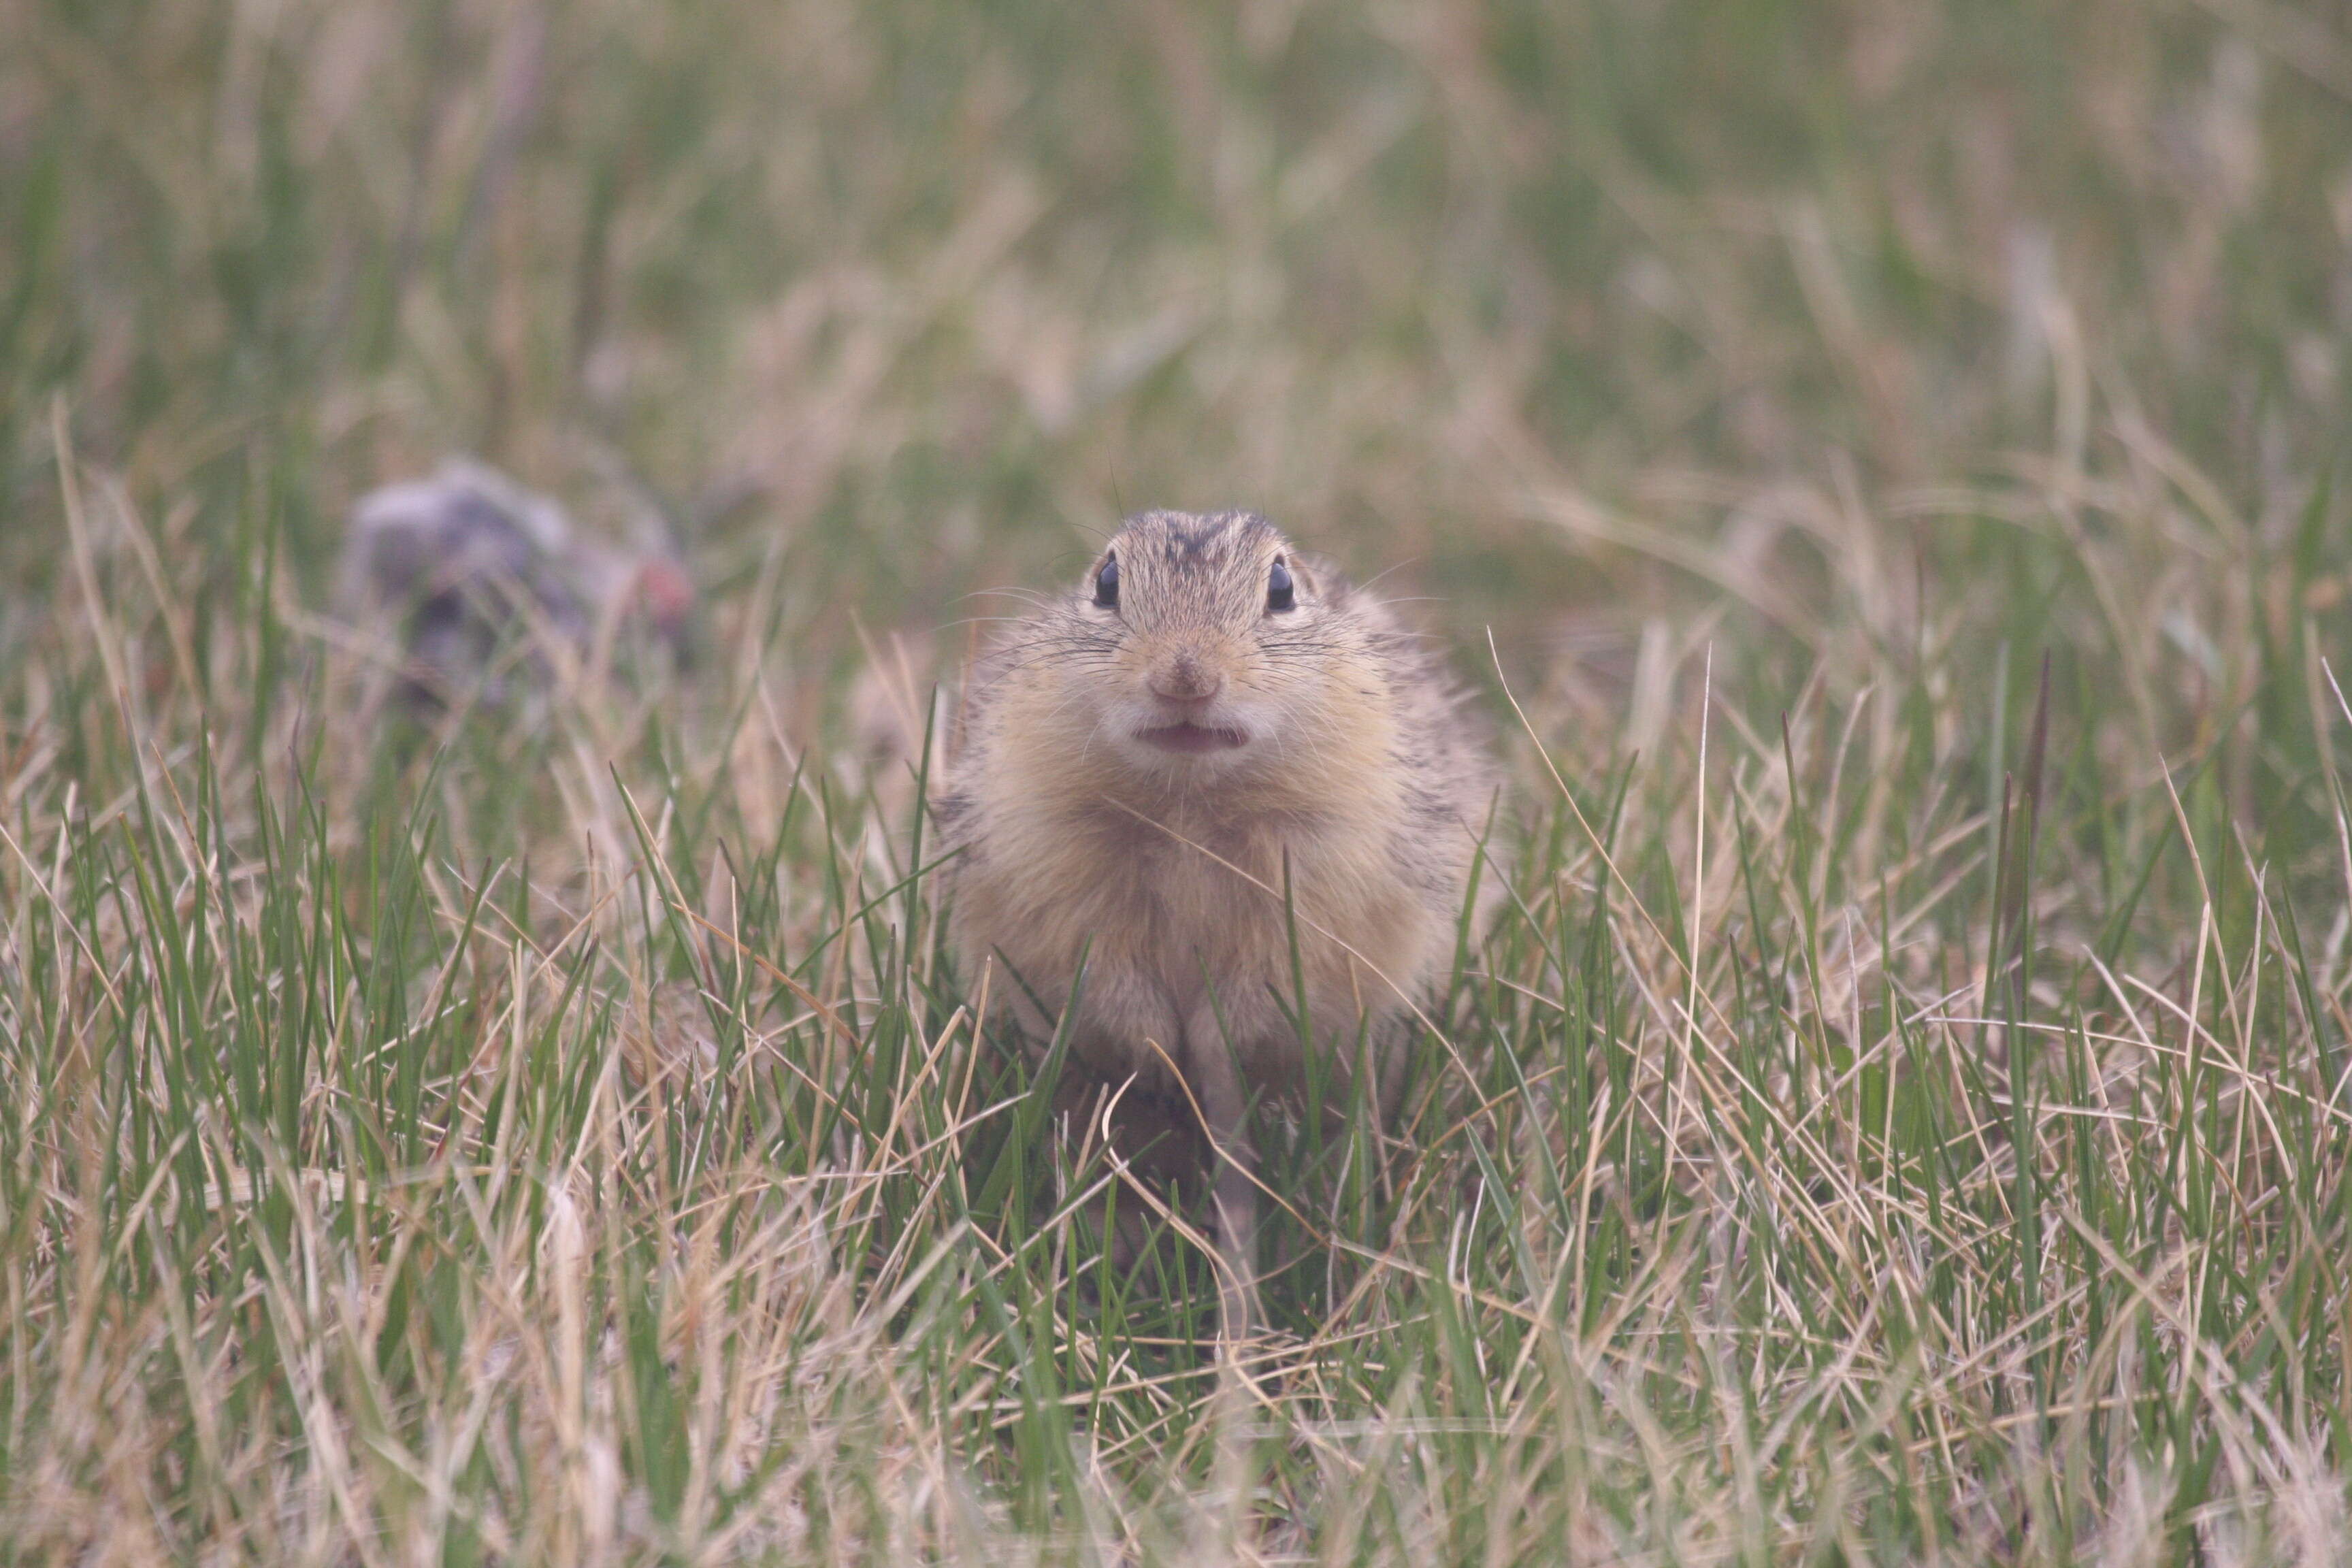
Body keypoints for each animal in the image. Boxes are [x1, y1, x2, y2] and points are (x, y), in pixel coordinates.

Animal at [931, 514, 1496, 1316]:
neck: (1188, 804)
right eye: (1106, 582)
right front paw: (1161, 1052)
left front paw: (1207, 1044)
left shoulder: (1324, 884)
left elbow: (1264, 981)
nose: (1186, 676)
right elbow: (1105, 969)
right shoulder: (1052, 864)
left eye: (1282, 587)